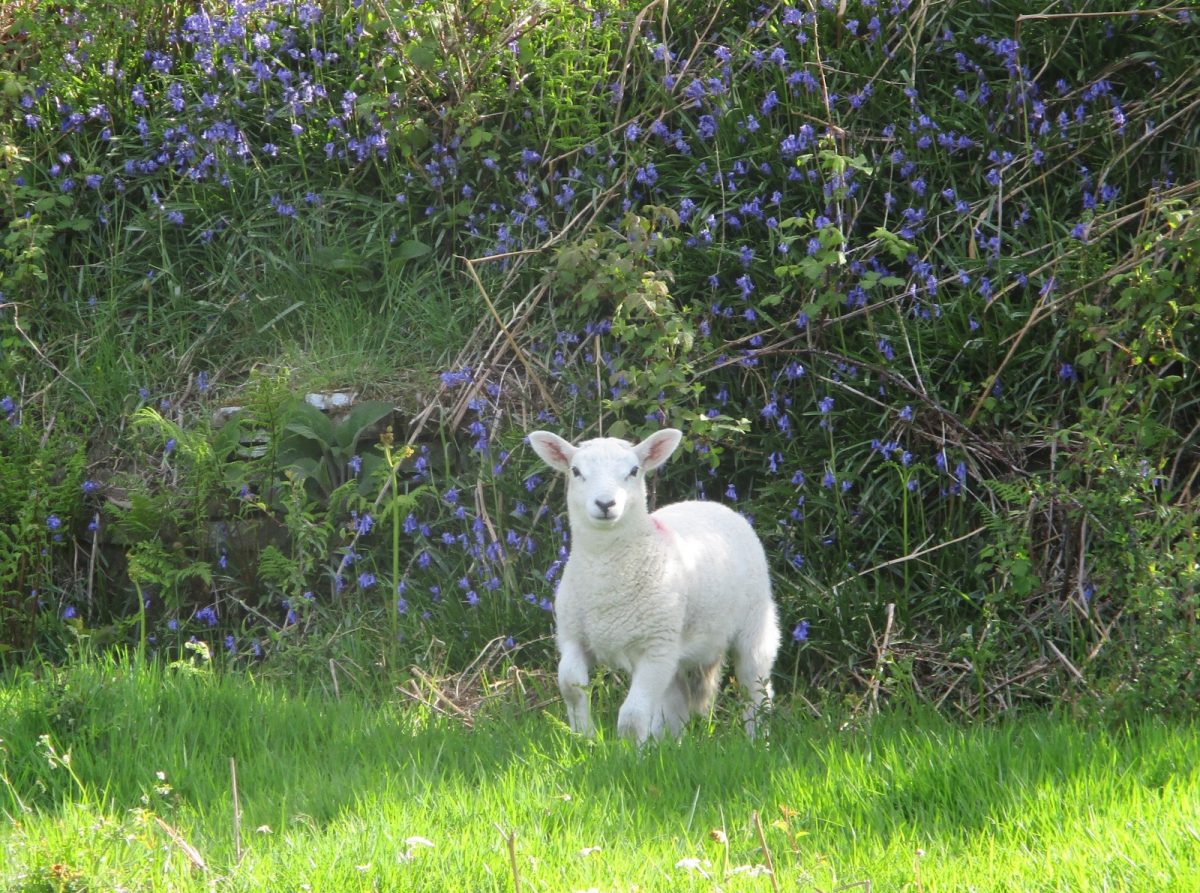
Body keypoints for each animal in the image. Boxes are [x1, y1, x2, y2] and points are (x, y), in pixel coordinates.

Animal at [530, 429, 782, 744]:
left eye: (633, 471)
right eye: (575, 471)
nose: (605, 504)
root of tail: (710, 503)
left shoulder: (655, 649)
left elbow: (632, 716)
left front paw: (629, 752)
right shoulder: (573, 636)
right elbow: (570, 686)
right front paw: (584, 739)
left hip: (753, 624)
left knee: (756, 686)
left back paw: (757, 740)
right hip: (676, 647)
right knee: (677, 699)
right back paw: (669, 743)